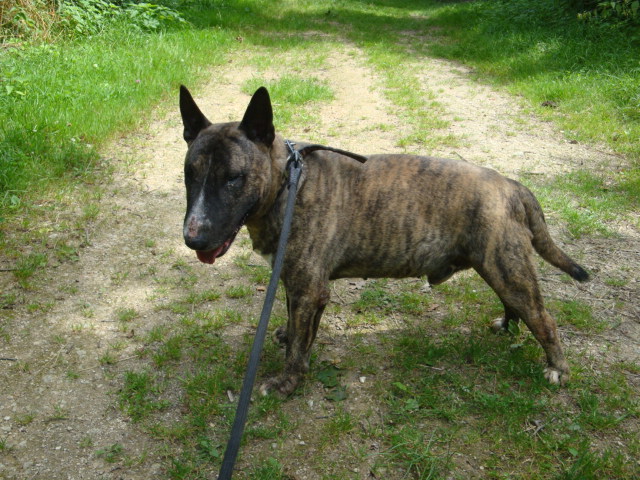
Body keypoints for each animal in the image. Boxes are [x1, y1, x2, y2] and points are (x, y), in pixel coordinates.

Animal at [178, 84, 588, 396]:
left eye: (233, 178)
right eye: (189, 173)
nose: (193, 238)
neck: (289, 184)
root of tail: (512, 185)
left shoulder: (309, 288)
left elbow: (298, 345)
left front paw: (286, 382)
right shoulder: (297, 283)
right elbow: (296, 326)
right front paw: (288, 339)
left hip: (506, 267)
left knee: (544, 319)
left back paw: (558, 367)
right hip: (499, 266)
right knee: (516, 305)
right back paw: (507, 325)